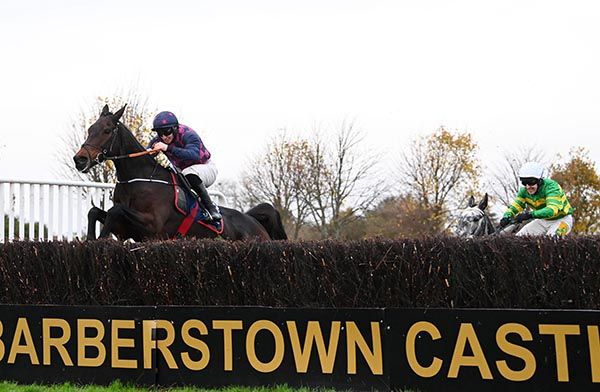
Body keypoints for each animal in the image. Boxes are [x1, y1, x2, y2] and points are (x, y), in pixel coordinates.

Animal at [71, 104, 288, 240]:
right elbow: (94, 211)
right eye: (90, 129)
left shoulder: (153, 226)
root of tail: (254, 221)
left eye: (107, 130)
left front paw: (101, 238)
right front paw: (90, 239)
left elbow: (114, 211)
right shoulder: (127, 229)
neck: (138, 180)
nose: (80, 159)